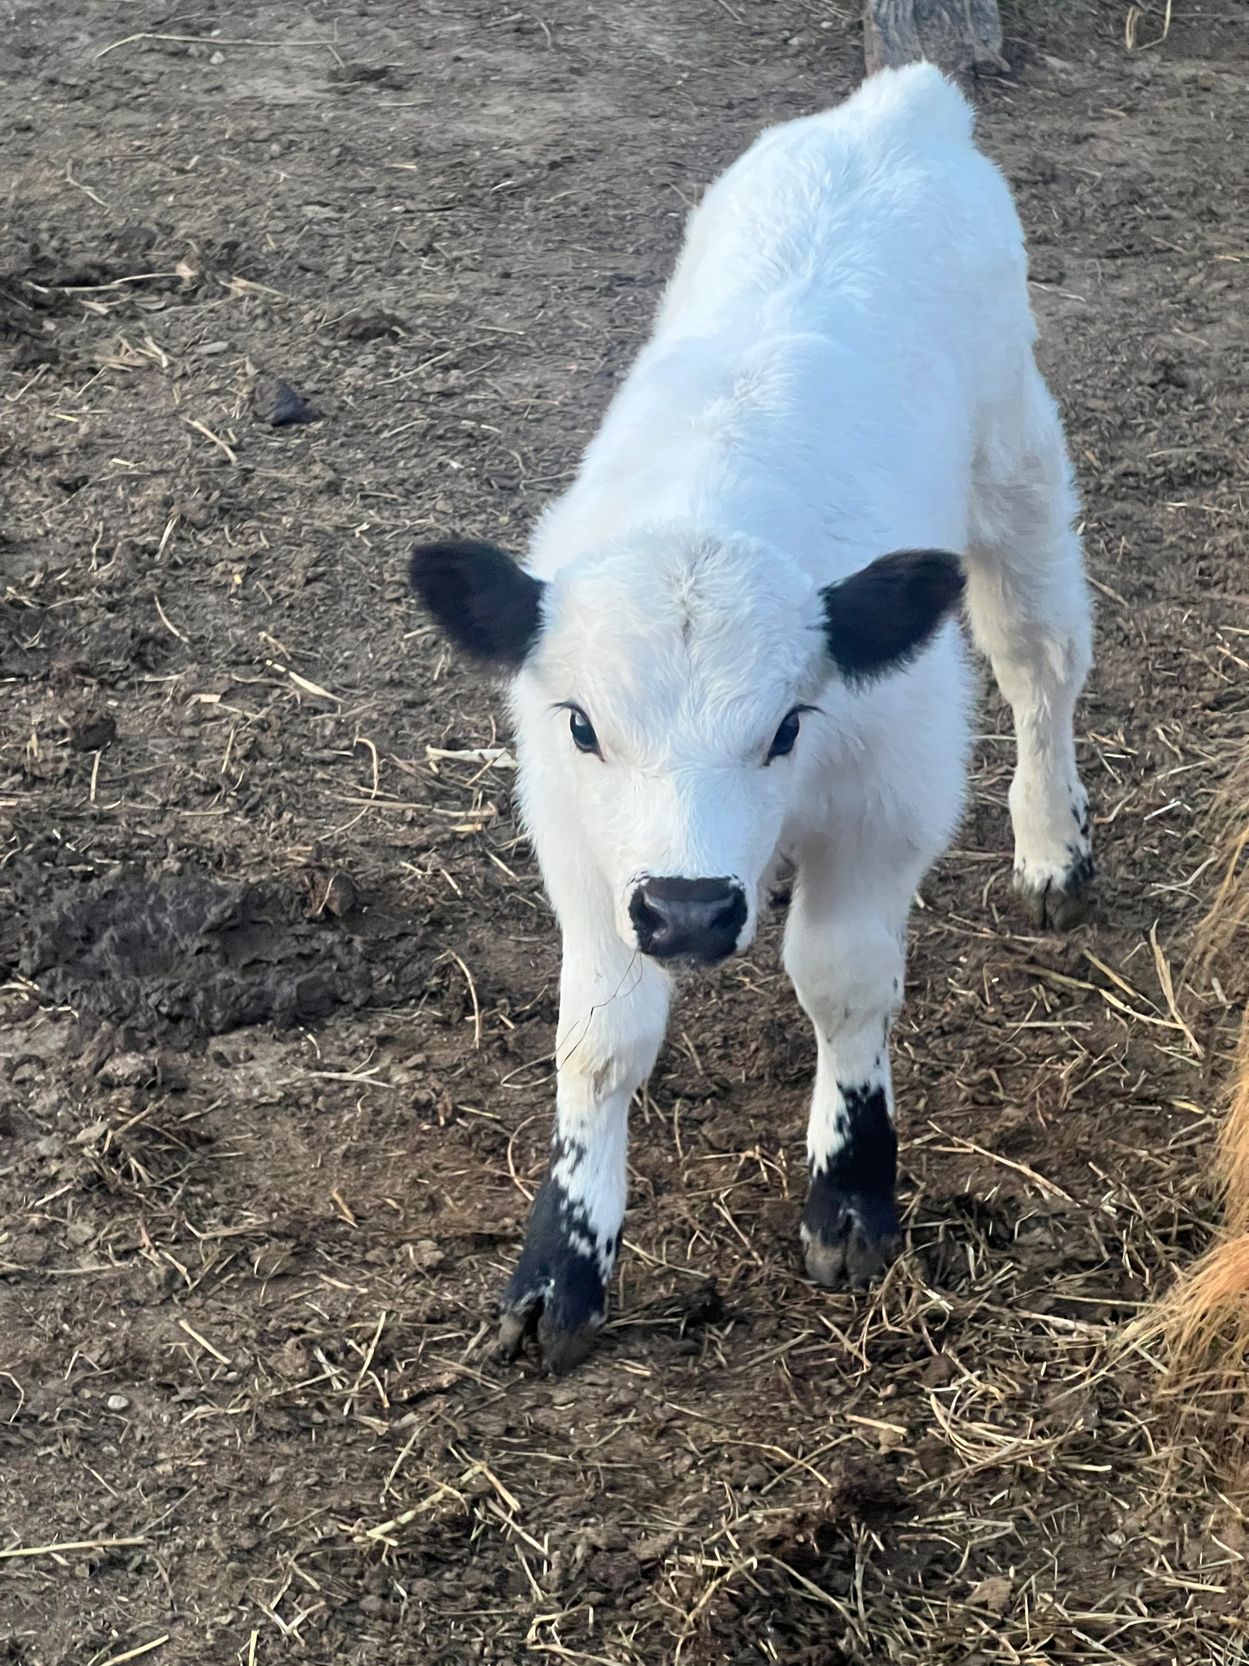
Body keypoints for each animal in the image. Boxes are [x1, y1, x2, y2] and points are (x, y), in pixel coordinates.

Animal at [410, 64, 1094, 1373]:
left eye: (787, 724)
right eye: (584, 725)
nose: (686, 908)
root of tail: (902, 106)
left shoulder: (891, 788)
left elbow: (840, 976)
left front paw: (850, 1196)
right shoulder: (578, 838)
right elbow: (599, 1032)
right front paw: (561, 1266)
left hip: (1020, 463)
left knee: (1042, 660)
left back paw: (1053, 846)